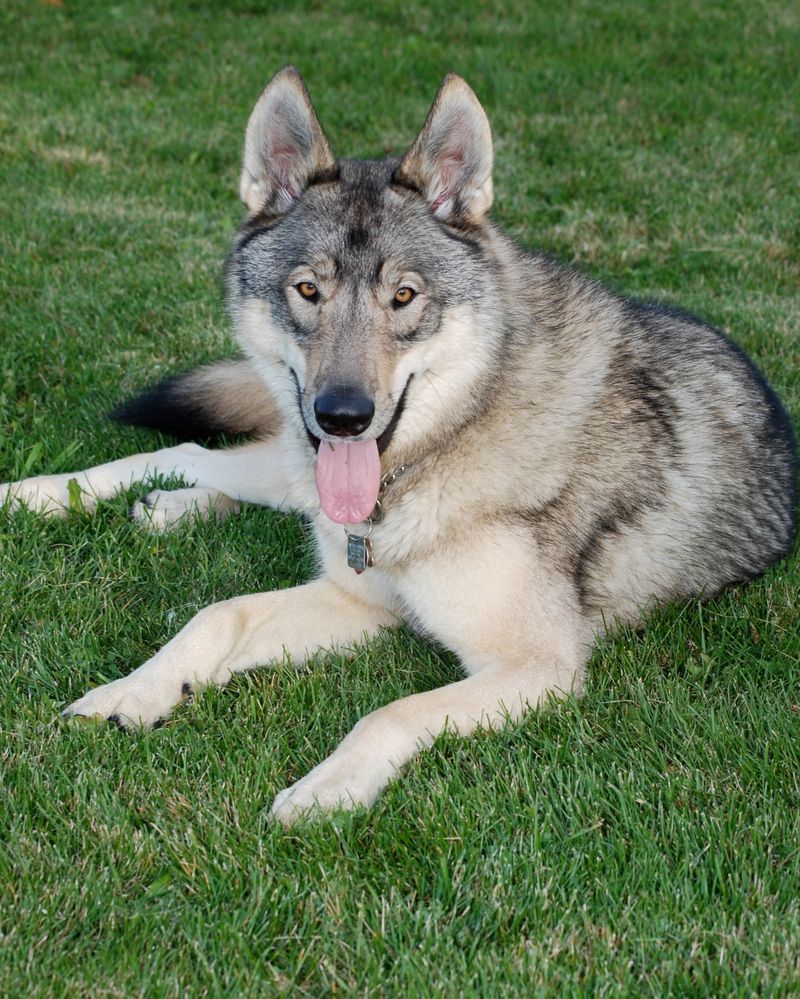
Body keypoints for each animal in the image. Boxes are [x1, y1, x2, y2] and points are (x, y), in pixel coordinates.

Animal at [3, 68, 796, 820]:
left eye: (405, 297)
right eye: (308, 291)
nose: (343, 416)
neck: (442, 450)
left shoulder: (536, 666)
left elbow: (388, 712)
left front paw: (327, 789)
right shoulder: (358, 594)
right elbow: (216, 612)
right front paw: (135, 689)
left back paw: (173, 508)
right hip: (293, 462)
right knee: (195, 457)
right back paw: (42, 496)